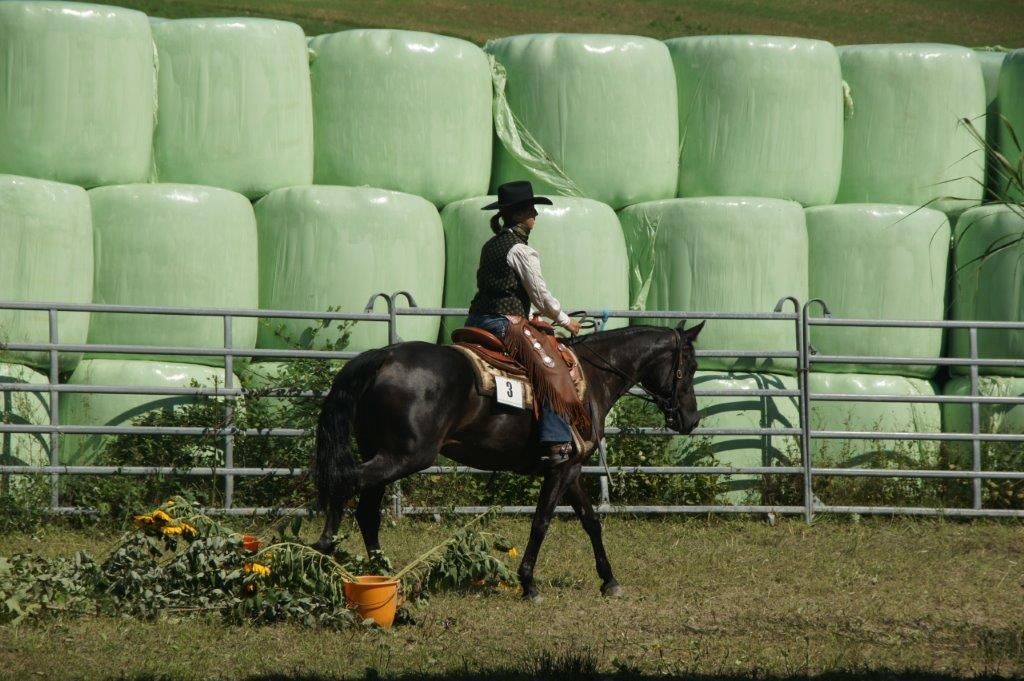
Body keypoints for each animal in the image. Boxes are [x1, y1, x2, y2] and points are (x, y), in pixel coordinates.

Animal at [312, 320, 704, 600]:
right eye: (691, 366)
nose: (691, 419)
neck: (592, 378)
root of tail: (385, 356)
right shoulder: (563, 467)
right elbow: (541, 522)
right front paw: (529, 584)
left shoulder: (571, 468)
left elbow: (591, 521)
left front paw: (609, 581)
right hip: (404, 456)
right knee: (346, 481)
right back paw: (324, 551)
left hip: (382, 453)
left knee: (367, 511)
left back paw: (381, 575)